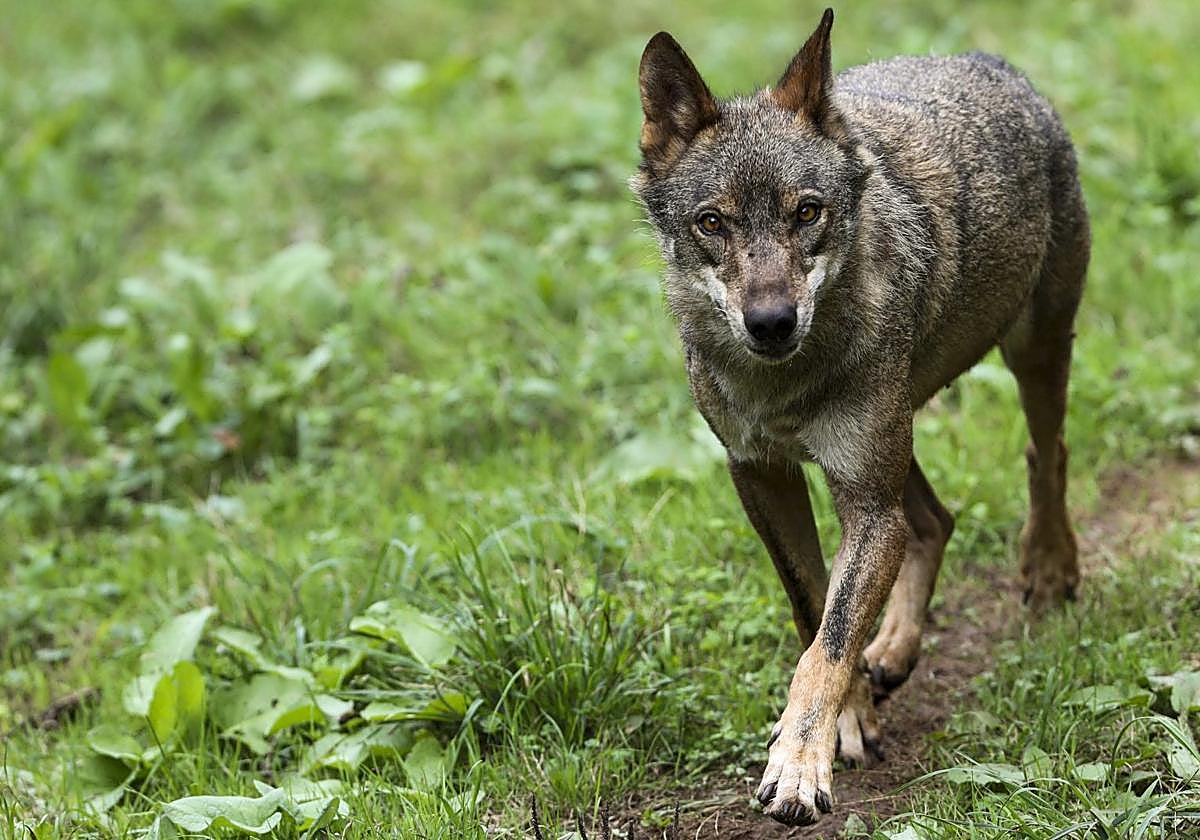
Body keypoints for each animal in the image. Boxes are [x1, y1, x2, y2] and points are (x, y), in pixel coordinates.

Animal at [630, 7, 1088, 826]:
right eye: (712, 223)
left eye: (807, 212)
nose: (771, 322)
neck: (783, 387)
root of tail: (989, 62)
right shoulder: (762, 477)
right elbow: (813, 609)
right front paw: (847, 723)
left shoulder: (867, 505)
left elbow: (830, 643)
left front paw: (797, 766)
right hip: (896, 443)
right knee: (936, 518)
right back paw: (898, 650)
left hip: (1027, 358)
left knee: (1047, 455)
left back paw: (1047, 568)